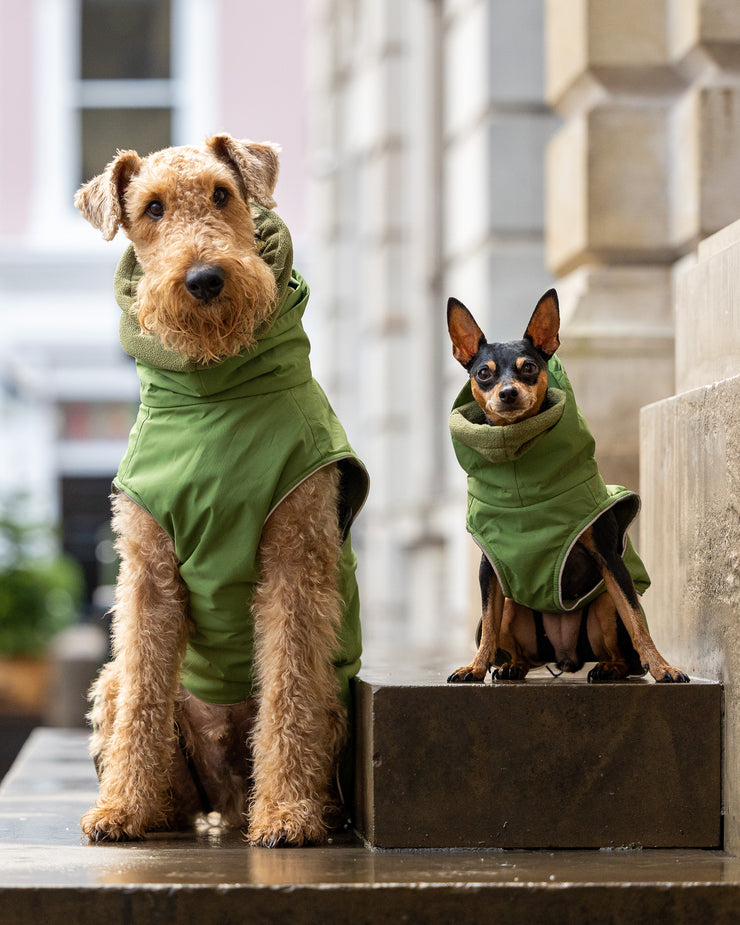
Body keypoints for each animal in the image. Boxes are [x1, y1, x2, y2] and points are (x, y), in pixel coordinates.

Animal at [446, 288, 688, 684]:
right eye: (483, 373)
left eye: (529, 367)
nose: (508, 393)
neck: (520, 461)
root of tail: (564, 657)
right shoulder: (488, 568)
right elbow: (490, 626)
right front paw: (476, 667)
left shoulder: (609, 561)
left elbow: (637, 622)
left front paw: (663, 666)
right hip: (512, 603)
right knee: (511, 642)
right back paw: (511, 666)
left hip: (602, 602)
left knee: (625, 654)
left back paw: (609, 668)